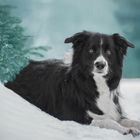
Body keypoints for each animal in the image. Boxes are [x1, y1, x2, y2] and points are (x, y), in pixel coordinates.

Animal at [5, 30, 140, 137]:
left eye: (109, 52)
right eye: (91, 50)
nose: (100, 65)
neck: (94, 85)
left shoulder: (115, 112)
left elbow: (129, 120)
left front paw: (132, 126)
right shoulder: (72, 117)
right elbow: (107, 121)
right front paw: (126, 130)